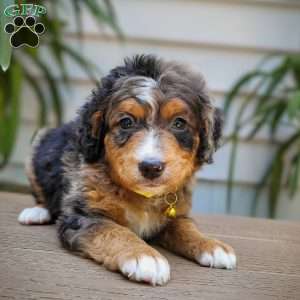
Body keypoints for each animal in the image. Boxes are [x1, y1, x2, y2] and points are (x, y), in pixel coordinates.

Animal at [19, 54, 238, 286]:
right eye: (126, 122)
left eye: (179, 123)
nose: (151, 167)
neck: (143, 196)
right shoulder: (83, 215)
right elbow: (114, 230)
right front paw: (144, 256)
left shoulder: (175, 214)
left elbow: (186, 227)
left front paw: (211, 245)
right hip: (36, 149)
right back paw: (37, 212)